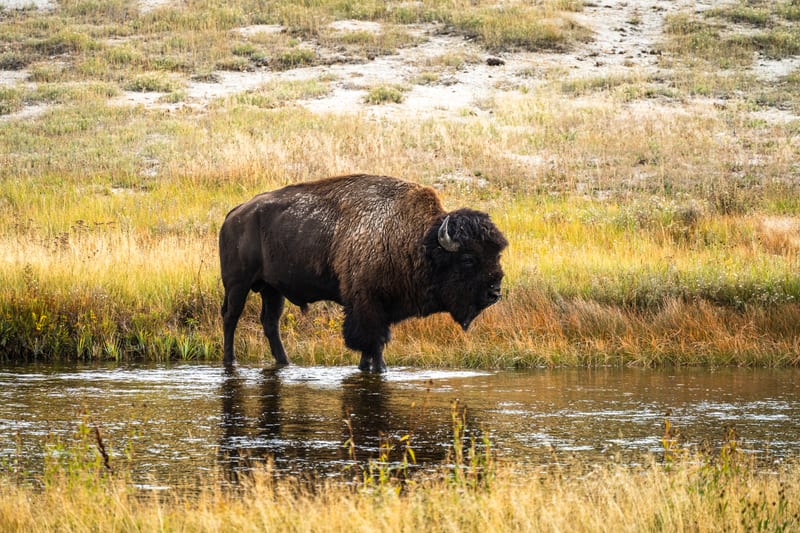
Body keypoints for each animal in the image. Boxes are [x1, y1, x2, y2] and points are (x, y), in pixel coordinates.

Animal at [219, 174, 507, 372]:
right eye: (469, 259)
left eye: (497, 255)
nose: (494, 292)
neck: (416, 240)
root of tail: (235, 213)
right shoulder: (367, 304)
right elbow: (373, 341)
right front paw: (380, 369)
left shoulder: (382, 307)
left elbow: (371, 344)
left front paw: (365, 366)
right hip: (238, 285)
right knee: (231, 317)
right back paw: (230, 361)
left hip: (272, 289)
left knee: (270, 322)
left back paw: (285, 362)